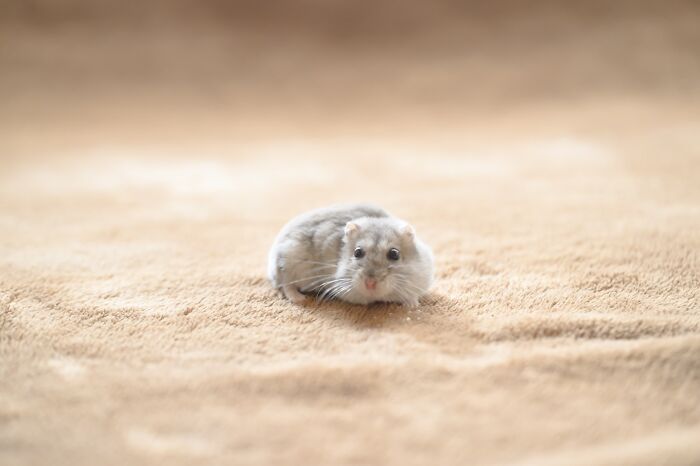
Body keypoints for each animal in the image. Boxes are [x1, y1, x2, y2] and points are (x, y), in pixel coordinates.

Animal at [267, 204, 434, 306]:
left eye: (394, 254)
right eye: (357, 252)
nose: (370, 284)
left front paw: (412, 305)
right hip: (289, 263)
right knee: (286, 285)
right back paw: (299, 299)